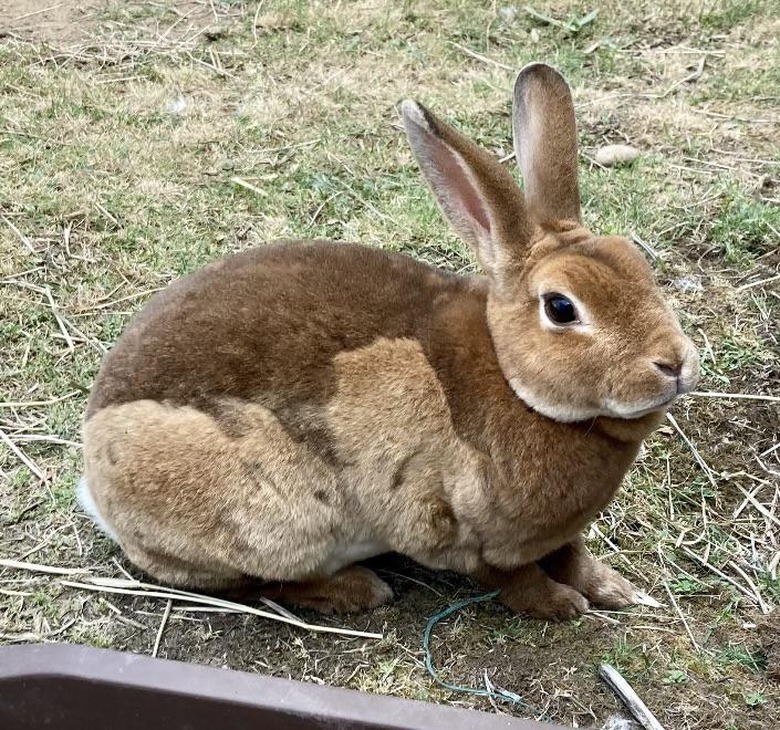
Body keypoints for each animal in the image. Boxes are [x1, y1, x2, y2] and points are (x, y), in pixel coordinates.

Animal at [79, 65, 700, 616]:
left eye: (637, 262)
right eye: (561, 307)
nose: (675, 365)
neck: (513, 379)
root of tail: (94, 474)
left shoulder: (555, 534)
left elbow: (572, 554)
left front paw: (618, 590)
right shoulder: (463, 531)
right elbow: (514, 579)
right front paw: (562, 606)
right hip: (269, 517)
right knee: (252, 580)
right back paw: (359, 590)